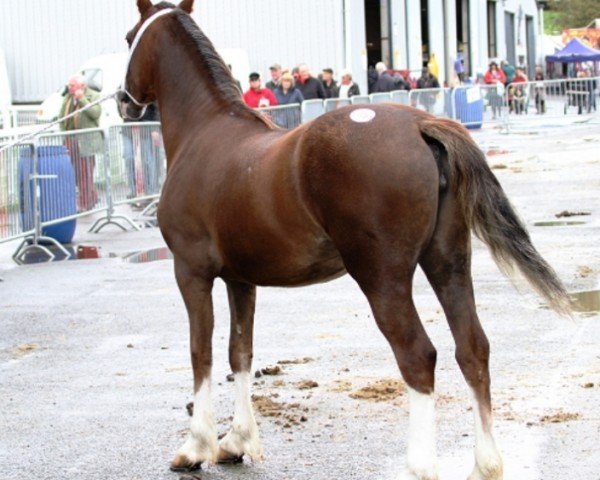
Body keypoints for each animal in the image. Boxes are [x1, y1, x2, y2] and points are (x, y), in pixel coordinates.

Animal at [123, 1, 572, 478]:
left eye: (130, 37)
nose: (123, 101)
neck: (205, 132)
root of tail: (422, 124)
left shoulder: (191, 272)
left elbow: (201, 353)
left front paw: (196, 447)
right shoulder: (240, 280)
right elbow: (239, 353)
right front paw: (236, 441)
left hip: (382, 279)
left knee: (418, 356)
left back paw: (419, 465)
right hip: (448, 263)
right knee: (472, 348)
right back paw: (484, 465)